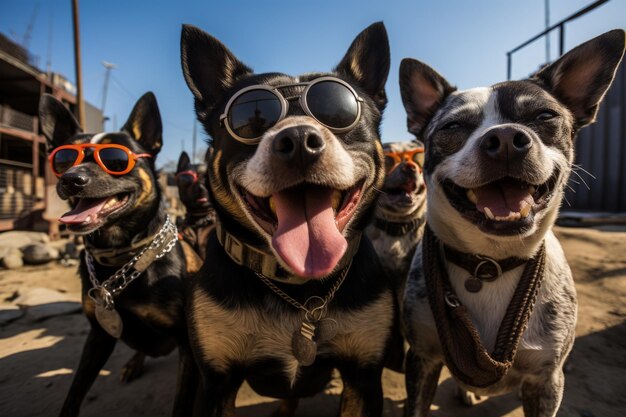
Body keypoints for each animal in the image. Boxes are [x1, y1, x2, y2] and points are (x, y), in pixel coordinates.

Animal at [38, 92, 197, 414]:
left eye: (116, 159)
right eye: (63, 159)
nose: (71, 178)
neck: (122, 260)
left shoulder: (188, 344)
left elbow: (182, 403)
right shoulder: (97, 337)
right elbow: (74, 393)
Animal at [180, 23, 394, 416]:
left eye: (339, 112)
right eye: (246, 121)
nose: (298, 139)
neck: (298, 289)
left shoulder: (364, 377)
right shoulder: (216, 383)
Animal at [400, 30, 624, 416]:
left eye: (545, 115)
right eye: (453, 126)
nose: (504, 138)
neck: (491, 263)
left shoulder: (546, 380)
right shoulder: (422, 360)